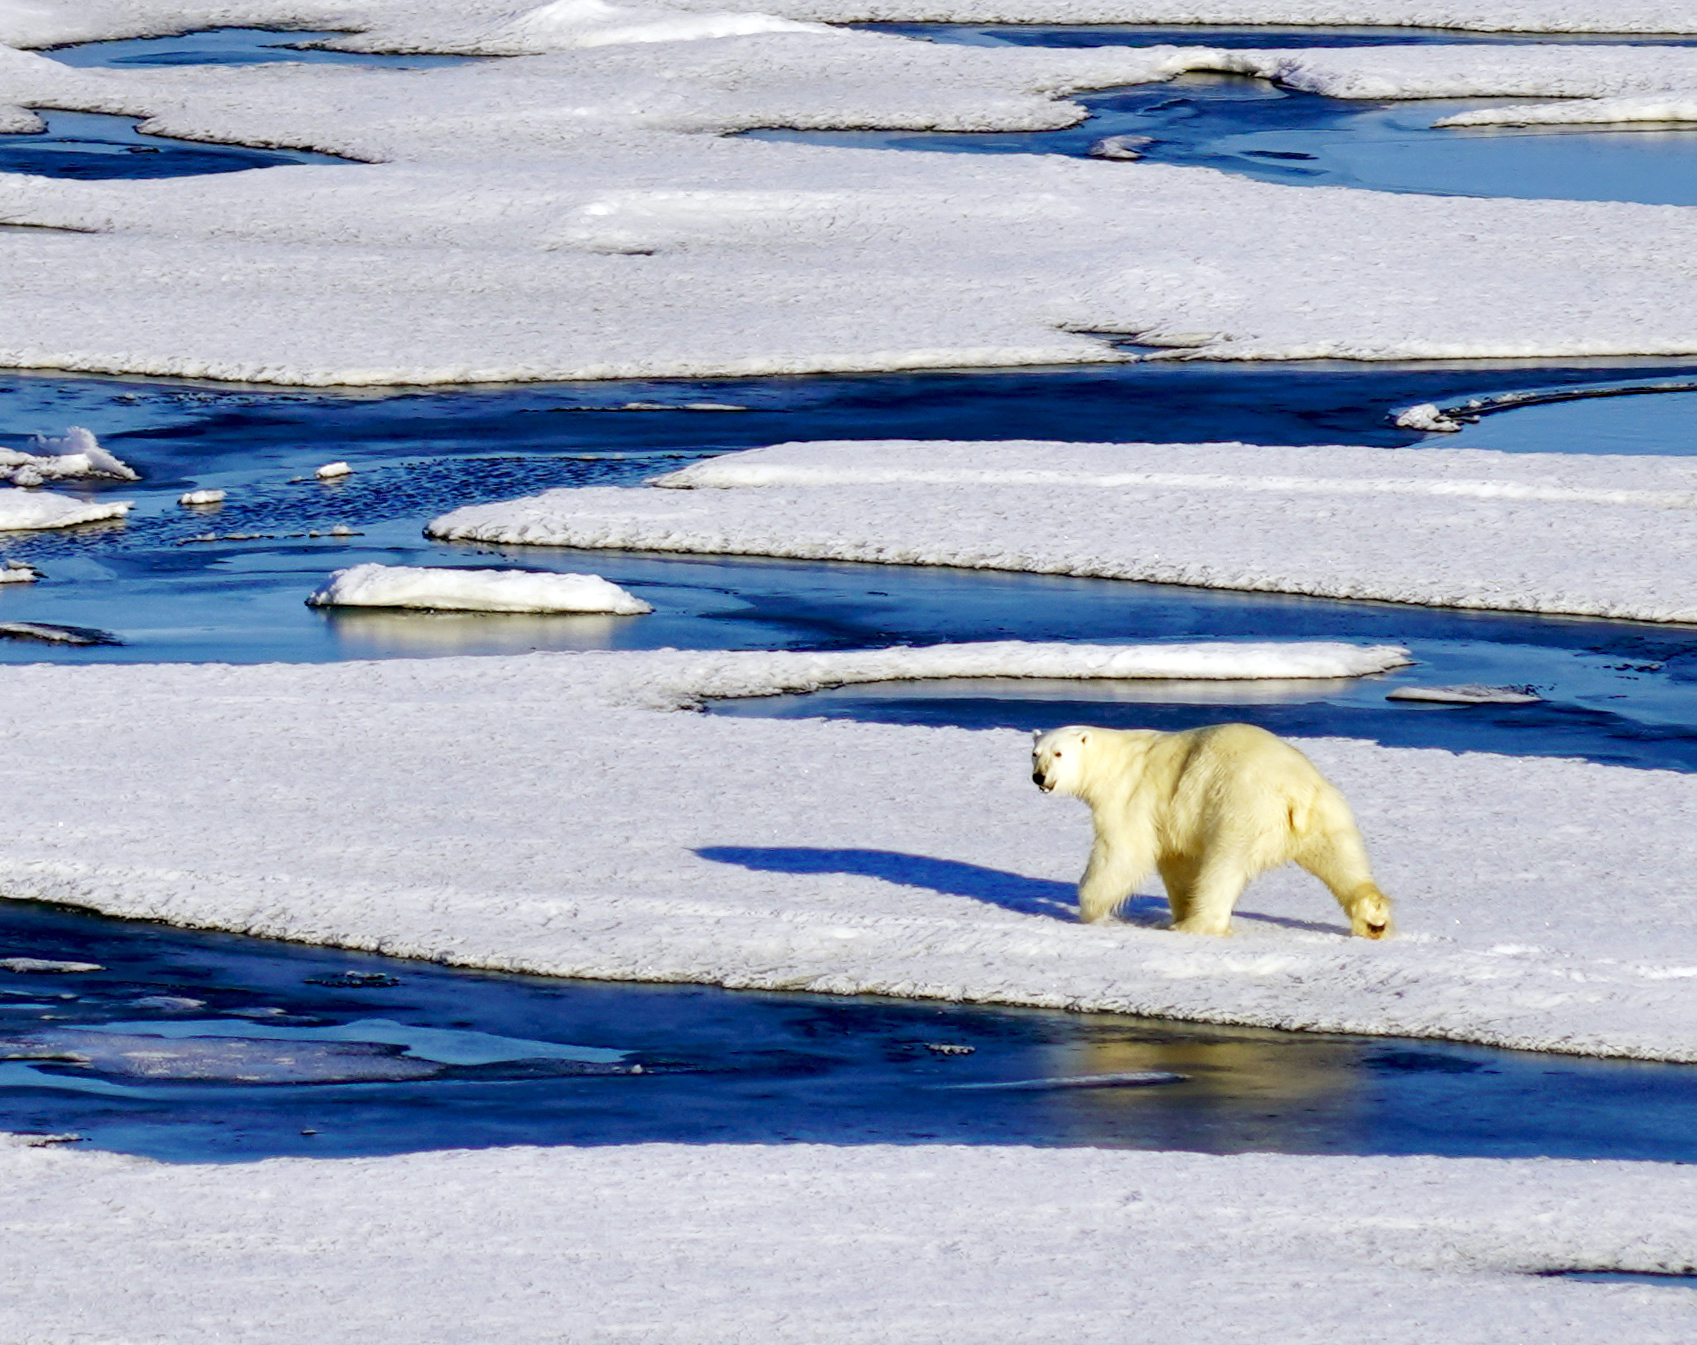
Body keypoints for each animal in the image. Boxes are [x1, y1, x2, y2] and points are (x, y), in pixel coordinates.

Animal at [1031, 722, 1392, 939]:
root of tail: (1294, 792)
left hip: (1242, 808)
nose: (1039, 777)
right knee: (1343, 859)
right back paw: (1373, 918)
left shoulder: (1129, 794)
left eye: (1059, 753)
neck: (1110, 760)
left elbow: (1124, 851)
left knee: (1224, 866)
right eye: (1035, 754)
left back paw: (1196, 925)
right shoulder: (1169, 816)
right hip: (1327, 811)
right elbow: (1176, 861)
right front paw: (1177, 910)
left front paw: (1090, 910)